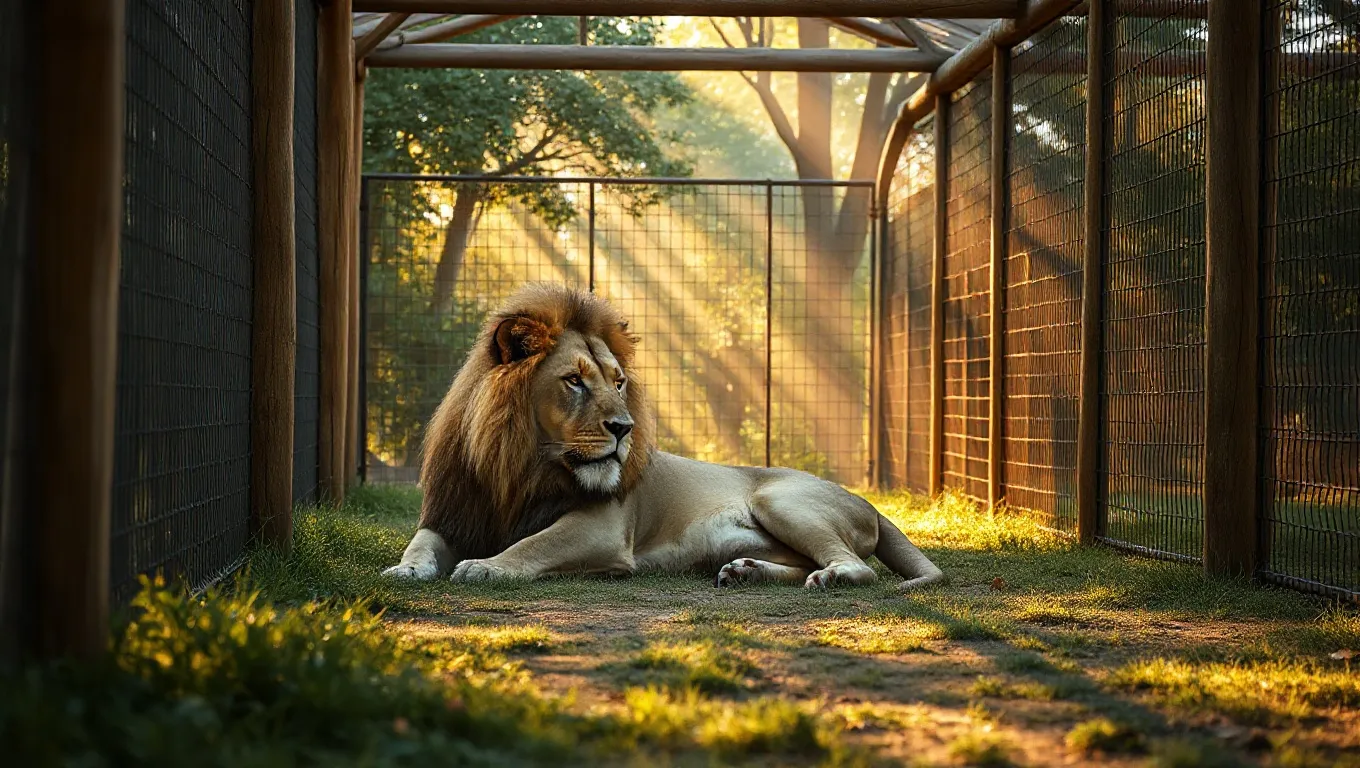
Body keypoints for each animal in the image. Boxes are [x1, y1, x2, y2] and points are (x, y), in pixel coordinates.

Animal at [383, 283, 944, 590]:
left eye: (618, 382)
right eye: (574, 381)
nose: (624, 428)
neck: (520, 465)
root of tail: (869, 505)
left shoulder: (604, 529)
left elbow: (534, 545)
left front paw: (485, 567)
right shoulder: (454, 513)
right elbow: (420, 543)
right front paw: (404, 571)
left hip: (782, 500)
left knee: (858, 567)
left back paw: (824, 578)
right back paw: (746, 572)